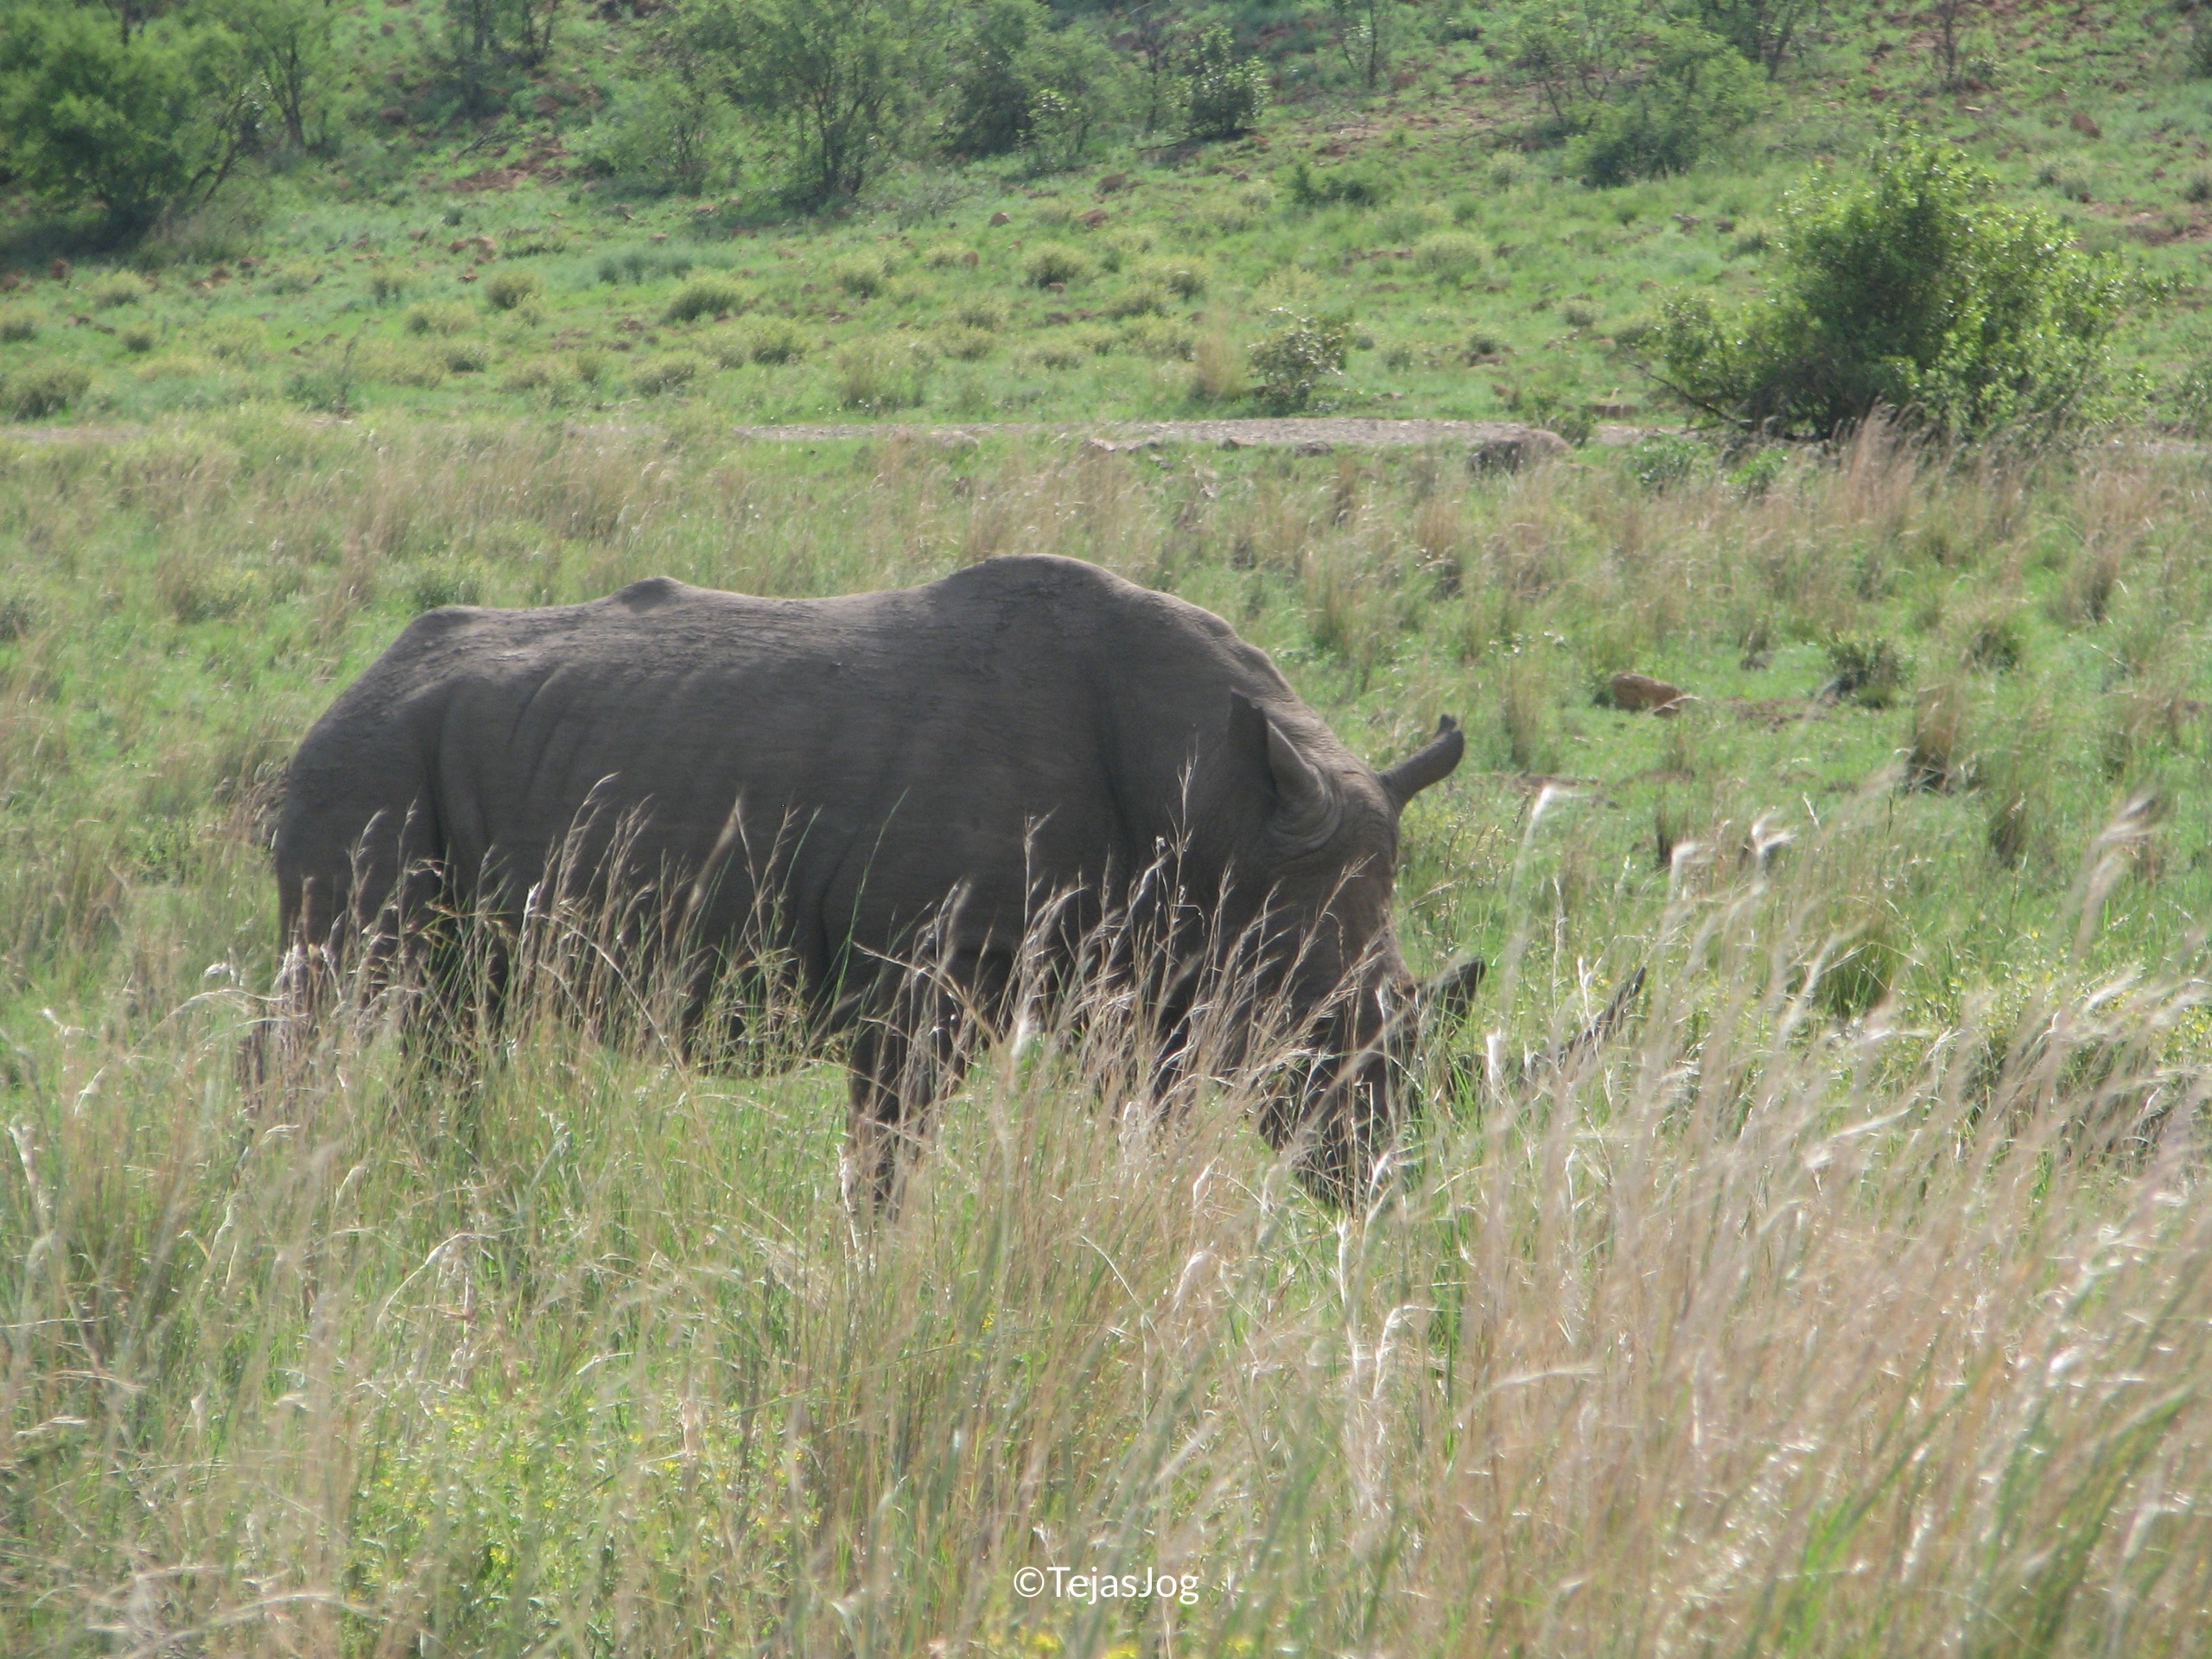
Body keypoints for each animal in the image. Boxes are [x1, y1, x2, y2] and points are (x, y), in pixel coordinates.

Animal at [273, 554, 1469, 1205]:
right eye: (1319, 1035)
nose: (1375, 1185)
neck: (1227, 805)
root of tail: (352, 676)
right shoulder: (918, 972)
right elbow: (888, 1157)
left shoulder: (1147, 976)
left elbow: (1131, 1132)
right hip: (365, 760)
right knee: (334, 989)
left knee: (457, 1015)